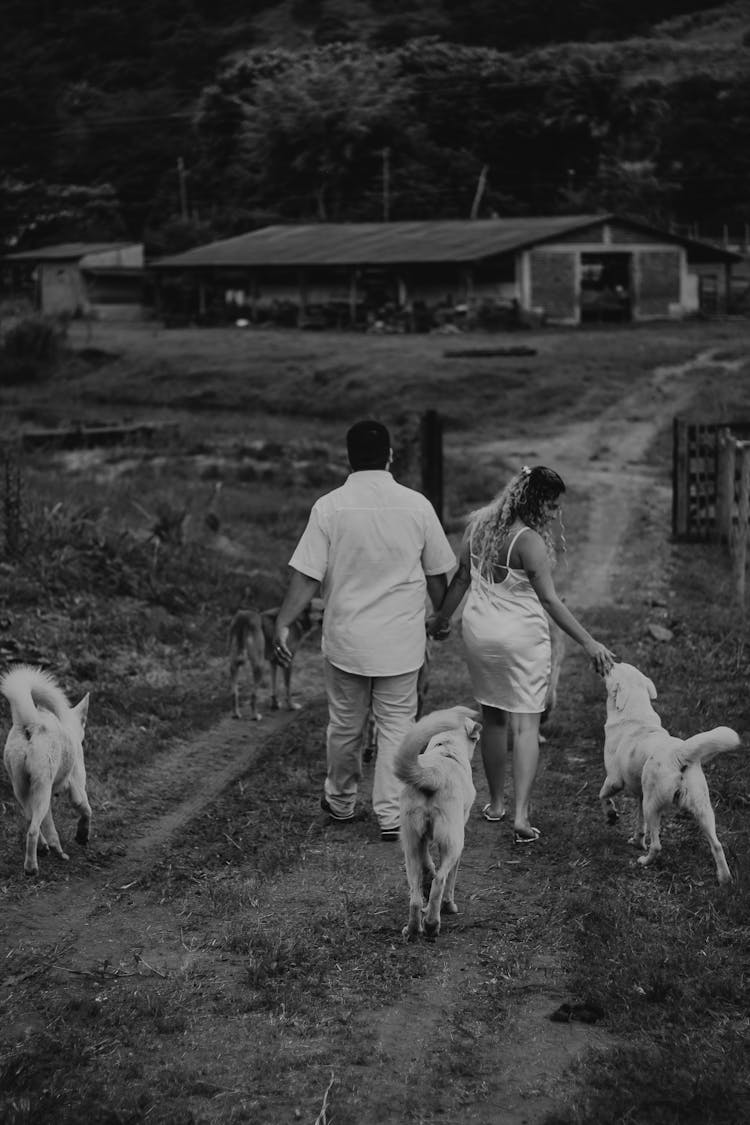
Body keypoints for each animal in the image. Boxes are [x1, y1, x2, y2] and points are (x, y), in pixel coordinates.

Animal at [1, 661, 92, 873]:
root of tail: (30, 725)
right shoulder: (77, 789)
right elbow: (86, 810)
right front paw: (82, 835)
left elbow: (50, 827)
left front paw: (56, 846)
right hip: (41, 788)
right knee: (33, 830)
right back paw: (31, 867)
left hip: (23, 789)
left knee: (30, 819)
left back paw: (48, 850)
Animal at [393, 706, 481, 945]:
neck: (446, 750)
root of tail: (432, 774)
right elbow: (449, 880)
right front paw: (450, 907)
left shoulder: (421, 841)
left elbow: (428, 865)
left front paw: (429, 873)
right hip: (454, 843)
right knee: (440, 883)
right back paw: (432, 925)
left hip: (409, 846)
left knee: (415, 897)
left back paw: (413, 929)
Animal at [602, 657, 742, 886]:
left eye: (614, 668)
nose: (610, 660)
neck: (635, 711)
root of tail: (679, 754)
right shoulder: (640, 796)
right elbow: (640, 824)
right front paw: (636, 840)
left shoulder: (614, 780)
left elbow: (603, 796)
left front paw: (611, 814)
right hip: (703, 809)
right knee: (717, 845)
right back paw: (724, 879)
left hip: (653, 806)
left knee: (657, 845)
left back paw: (644, 861)